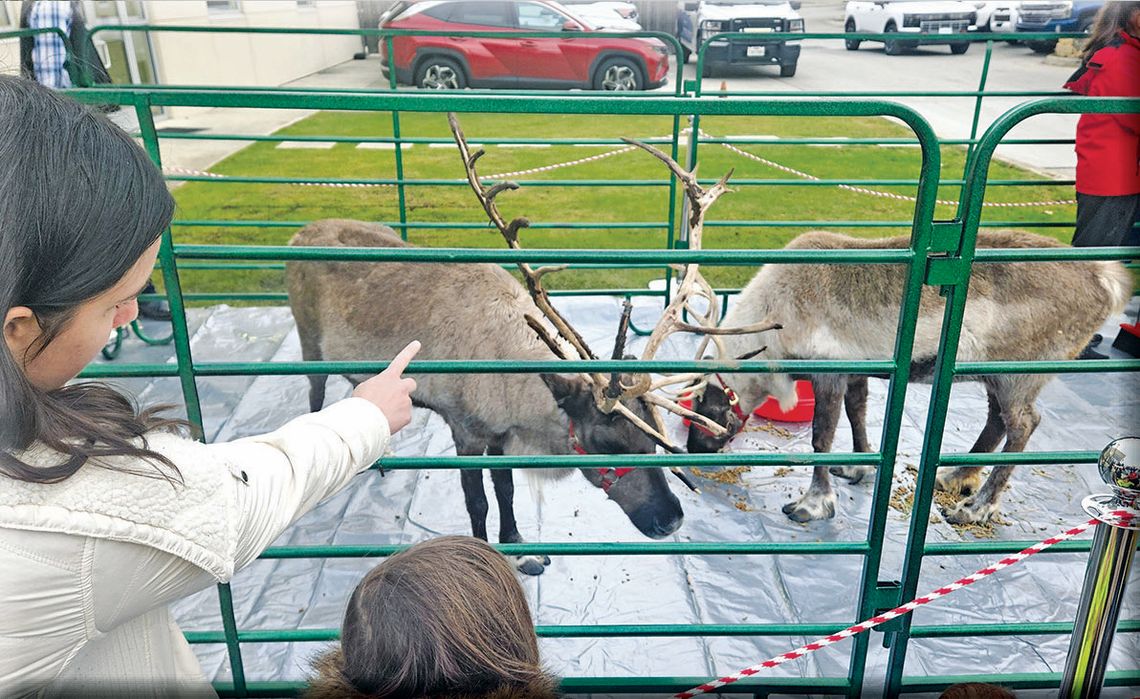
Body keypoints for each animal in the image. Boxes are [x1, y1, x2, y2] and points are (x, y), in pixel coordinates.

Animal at [684, 229, 1132, 525]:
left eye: (701, 407)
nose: (694, 449)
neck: (772, 319)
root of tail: (1106, 280)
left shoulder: (828, 370)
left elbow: (821, 436)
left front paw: (813, 503)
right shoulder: (857, 369)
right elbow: (858, 412)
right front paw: (860, 467)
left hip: (1018, 373)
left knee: (1024, 424)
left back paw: (977, 507)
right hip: (991, 372)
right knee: (997, 420)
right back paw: (957, 475)